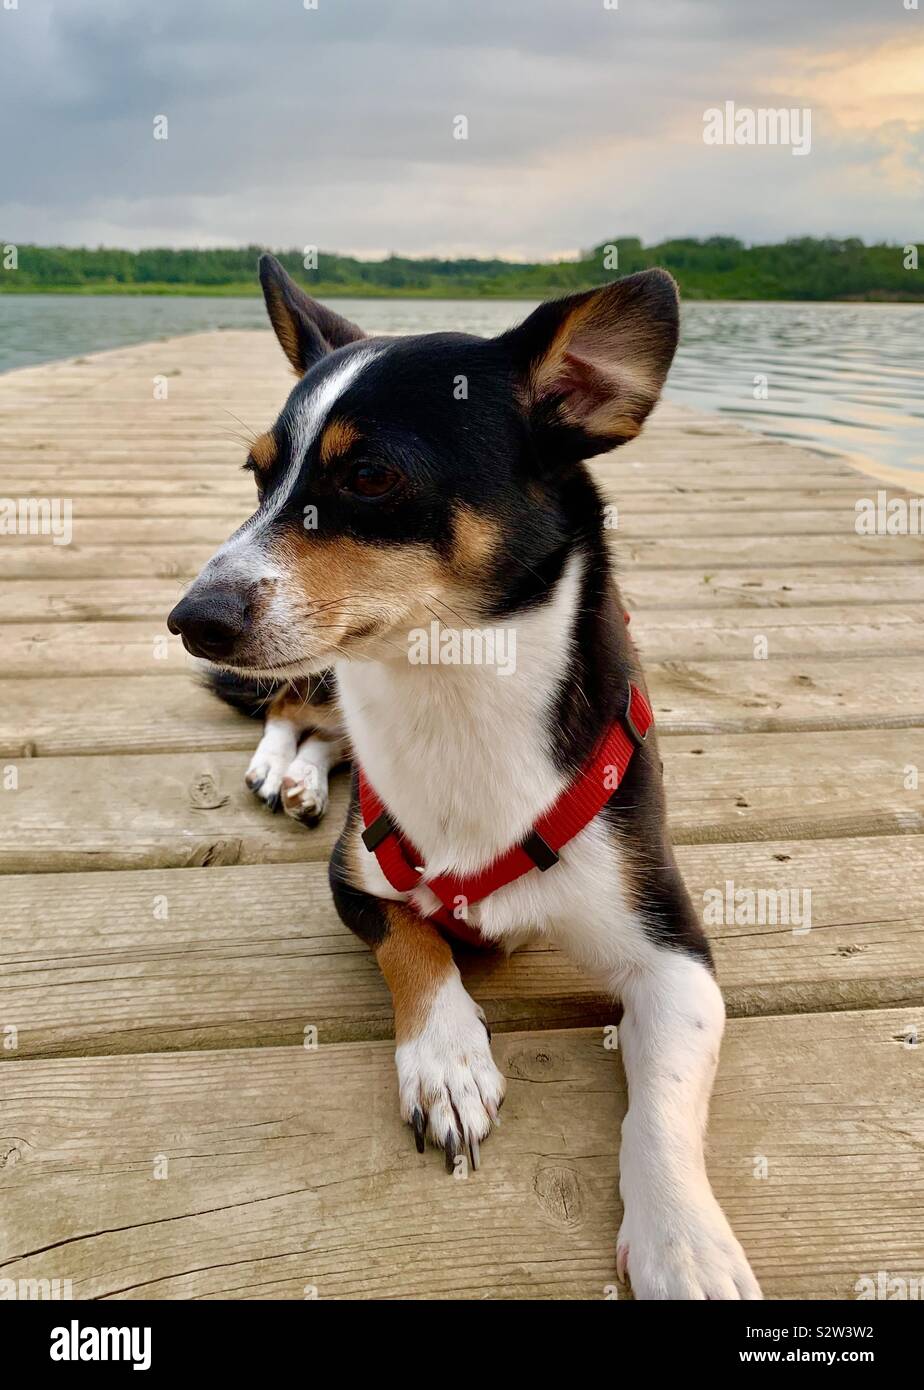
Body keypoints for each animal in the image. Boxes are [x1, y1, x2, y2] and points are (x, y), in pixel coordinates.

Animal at [169, 252, 761, 1301]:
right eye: (258, 474)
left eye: (370, 475)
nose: (190, 617)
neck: (447, 688)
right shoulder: (356, 881)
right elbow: (416, 943)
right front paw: (444, 1057)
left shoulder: (676, 958)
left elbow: (659, 1110)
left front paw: (684, 1240)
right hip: (312, 680)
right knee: (297, 708)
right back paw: (286, 770)